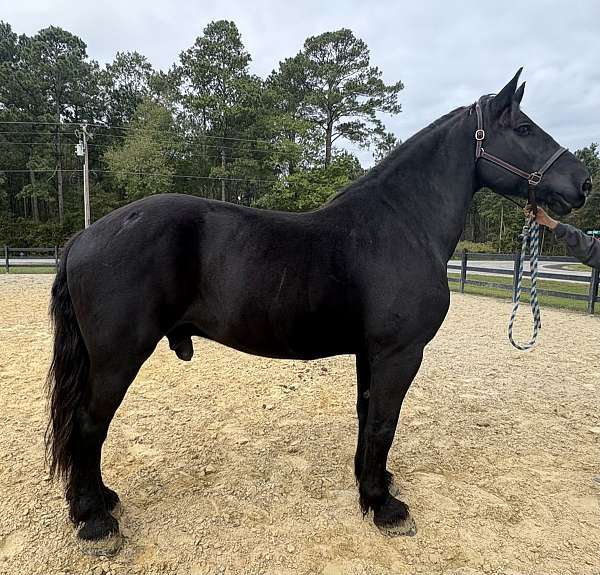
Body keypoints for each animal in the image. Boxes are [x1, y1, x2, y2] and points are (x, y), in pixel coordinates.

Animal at [45, 70, 592, 552]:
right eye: (524, 128)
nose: (583, 182)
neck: (402, 225)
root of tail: (83, 239)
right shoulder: (400, 352)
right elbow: (384, 422)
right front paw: (384, 507)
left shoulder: (372, 353)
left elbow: (369, 415)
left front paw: (373, 484)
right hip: (118, 357)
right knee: (89, 424)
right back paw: (95, 520)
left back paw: (97, 502)